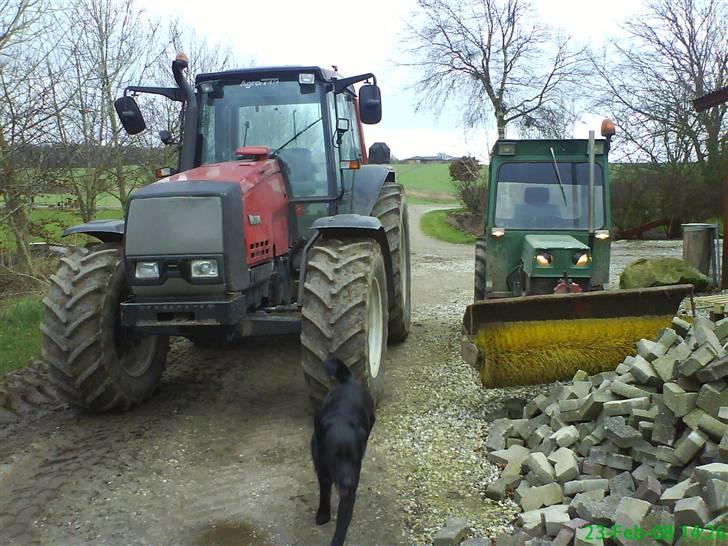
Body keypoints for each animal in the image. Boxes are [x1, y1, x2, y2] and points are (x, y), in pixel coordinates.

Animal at [310, 356, 376, 544]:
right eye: (334, 458)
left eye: (355, 458)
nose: (348, 483)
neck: (341, 419)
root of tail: (348, 380)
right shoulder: (322, 472)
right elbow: (324, 493)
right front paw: (323, 514)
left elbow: (342, 524)